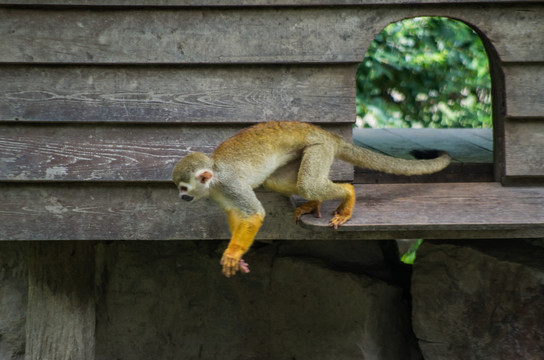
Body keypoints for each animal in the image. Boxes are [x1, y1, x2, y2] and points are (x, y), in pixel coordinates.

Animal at [174, 121, 450, 276]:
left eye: (184, 187)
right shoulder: (219, 193)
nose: (181, 197)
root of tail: (329, 135)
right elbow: (237, 214)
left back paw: (347, 194)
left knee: (309, 184)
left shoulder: (230, 184)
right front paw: (239, 257)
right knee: (285, 182)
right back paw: (316, 202)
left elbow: (253, 214)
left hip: (319, 148)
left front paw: (233, 254)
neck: (215, 177)